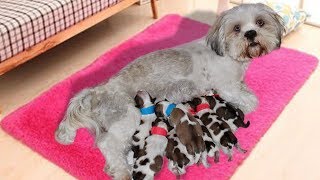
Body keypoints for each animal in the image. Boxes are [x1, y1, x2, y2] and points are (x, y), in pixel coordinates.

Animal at [55, 3, 284, 179]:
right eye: (236, 28)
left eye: (260, 22)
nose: (251, 33)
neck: (229, 54)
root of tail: (98, 90)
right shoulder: (226, 87)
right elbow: (251, 101)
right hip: (127, 116)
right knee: (107, 143)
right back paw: (122, 171)